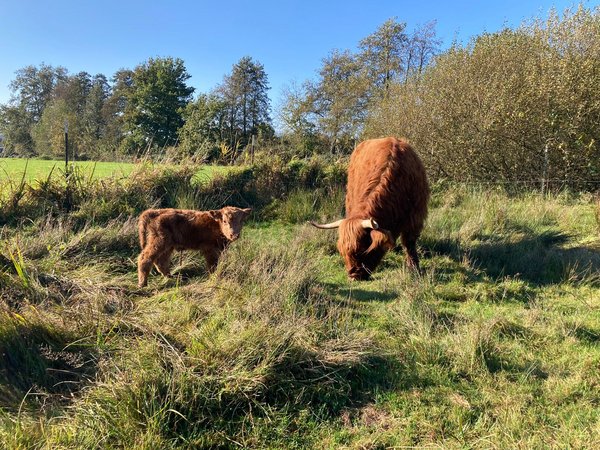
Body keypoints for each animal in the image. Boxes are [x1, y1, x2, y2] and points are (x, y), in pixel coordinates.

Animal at [312, 137, 428, 280]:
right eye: (342, 251)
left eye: (362, 250)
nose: (353, 276)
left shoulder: (415, 216)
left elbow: (409, 243)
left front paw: (414, 269)